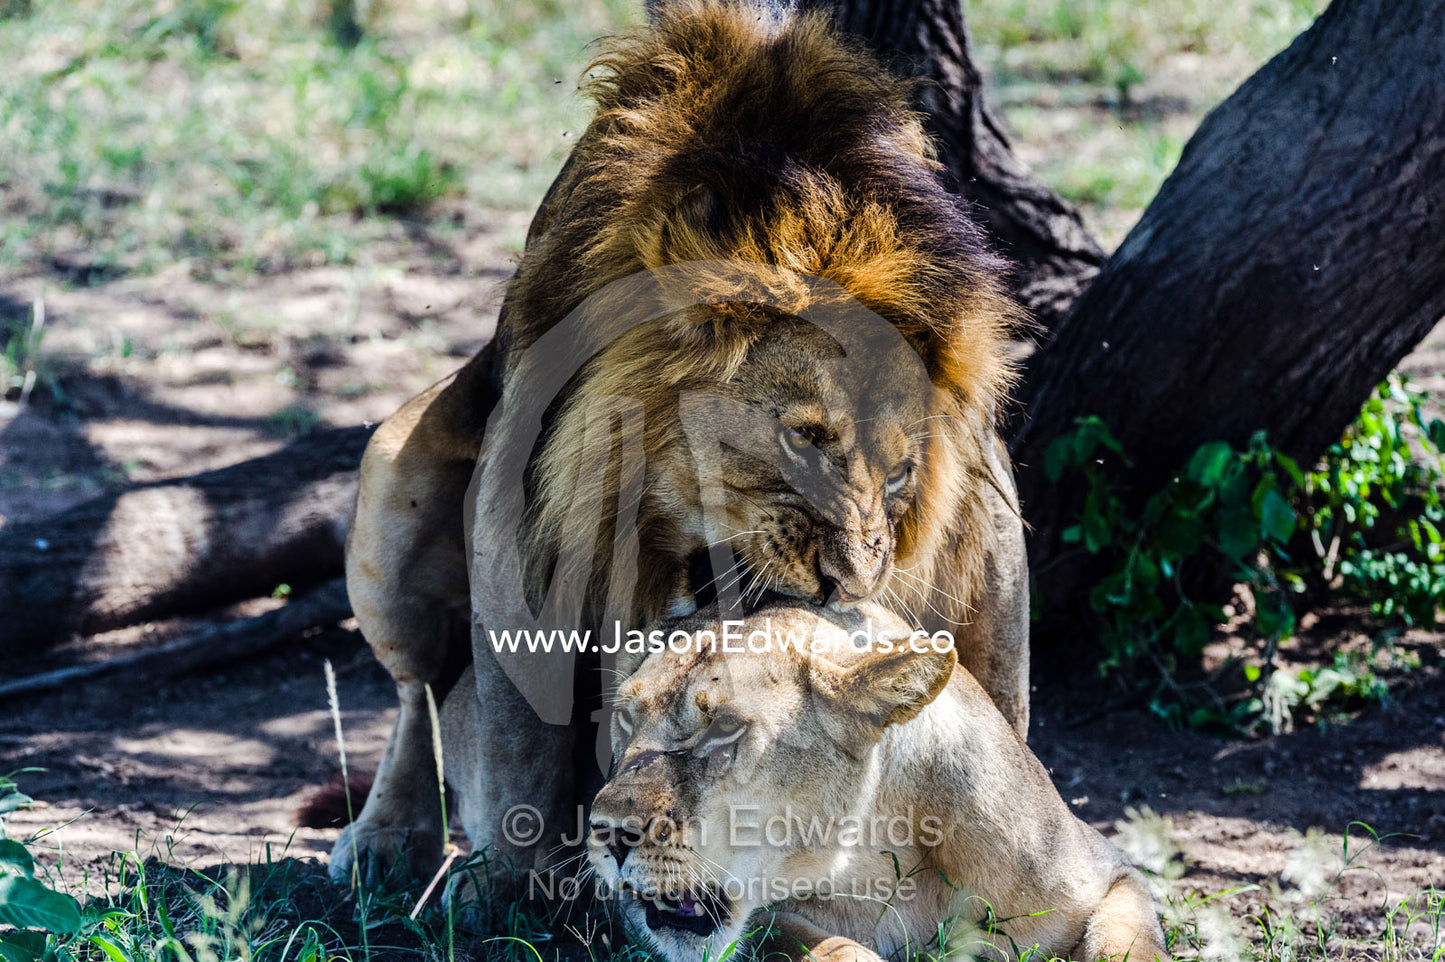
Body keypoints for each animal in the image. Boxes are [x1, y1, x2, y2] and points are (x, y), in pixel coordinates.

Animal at [330, 0, 1029, 887]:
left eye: (901, 473)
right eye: (805, 437)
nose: (849, 581)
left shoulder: (987, 516)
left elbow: (997, 683)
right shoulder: (518, 502)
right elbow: (518, 731)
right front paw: (506, 888)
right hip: (392, 473)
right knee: (417, 693)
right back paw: (385, 838)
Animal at [570, 602, 1171, 962]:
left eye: (723, 728)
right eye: (625, 721)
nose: (607, 834)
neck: (878, 857)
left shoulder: (1113, 870)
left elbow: (1126, 943)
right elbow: (820, 944)